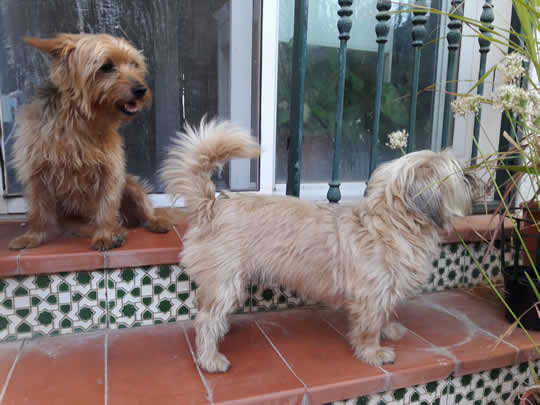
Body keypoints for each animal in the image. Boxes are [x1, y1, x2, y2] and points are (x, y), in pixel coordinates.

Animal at [8, 34, 171, 249]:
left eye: (134, 64)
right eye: (107, 67)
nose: (141, 89)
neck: (78, 121)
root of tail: (130, 222)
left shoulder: (111, 171)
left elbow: (106, 208)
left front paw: (106, 235)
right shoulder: (36, 173)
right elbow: (38, 211)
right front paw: (33, 237)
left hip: (131, 185)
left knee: (143, 210)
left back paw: (151, 222)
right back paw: (115, 231)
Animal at [162, 119, 474, 372]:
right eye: (458, 175)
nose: (474, 176)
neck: (391, 221)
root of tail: (212, 205)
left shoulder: (384, 291)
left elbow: (384, 314)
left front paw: (389, 329)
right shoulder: (370, 296)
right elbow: (369, 326)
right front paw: (372, 352)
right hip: (226, 282)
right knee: (205, 320)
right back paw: (209, 358)